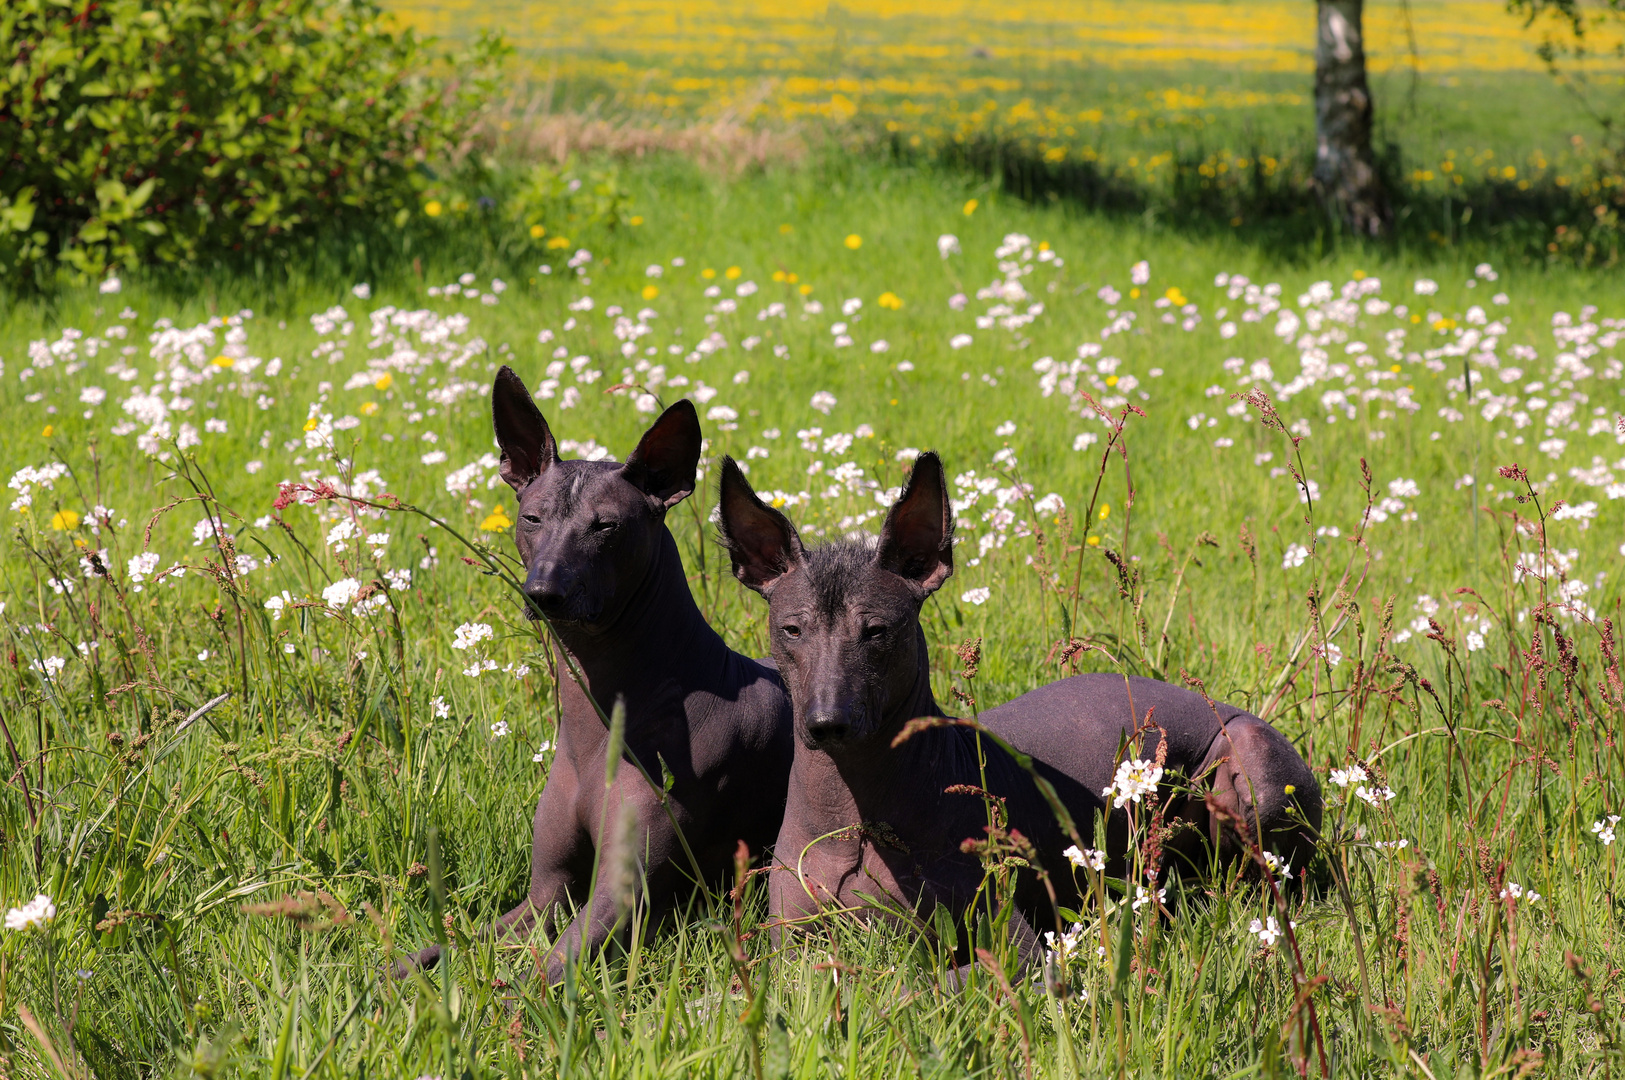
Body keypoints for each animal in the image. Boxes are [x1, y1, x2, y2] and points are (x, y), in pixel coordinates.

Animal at [399, 370, 793, 987]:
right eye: (532, 518)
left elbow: (532, 983)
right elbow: (451, 945)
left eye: (606, 526)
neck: (598, 725)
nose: (543, 591)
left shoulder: (618, 896)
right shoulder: (543, 895)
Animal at [715, 444, 1319, 961]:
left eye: (877, 631)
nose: (827, 722)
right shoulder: (787, 952)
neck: (851, 814)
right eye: (792, 630)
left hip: (1251, 762)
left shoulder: (1013, 949)